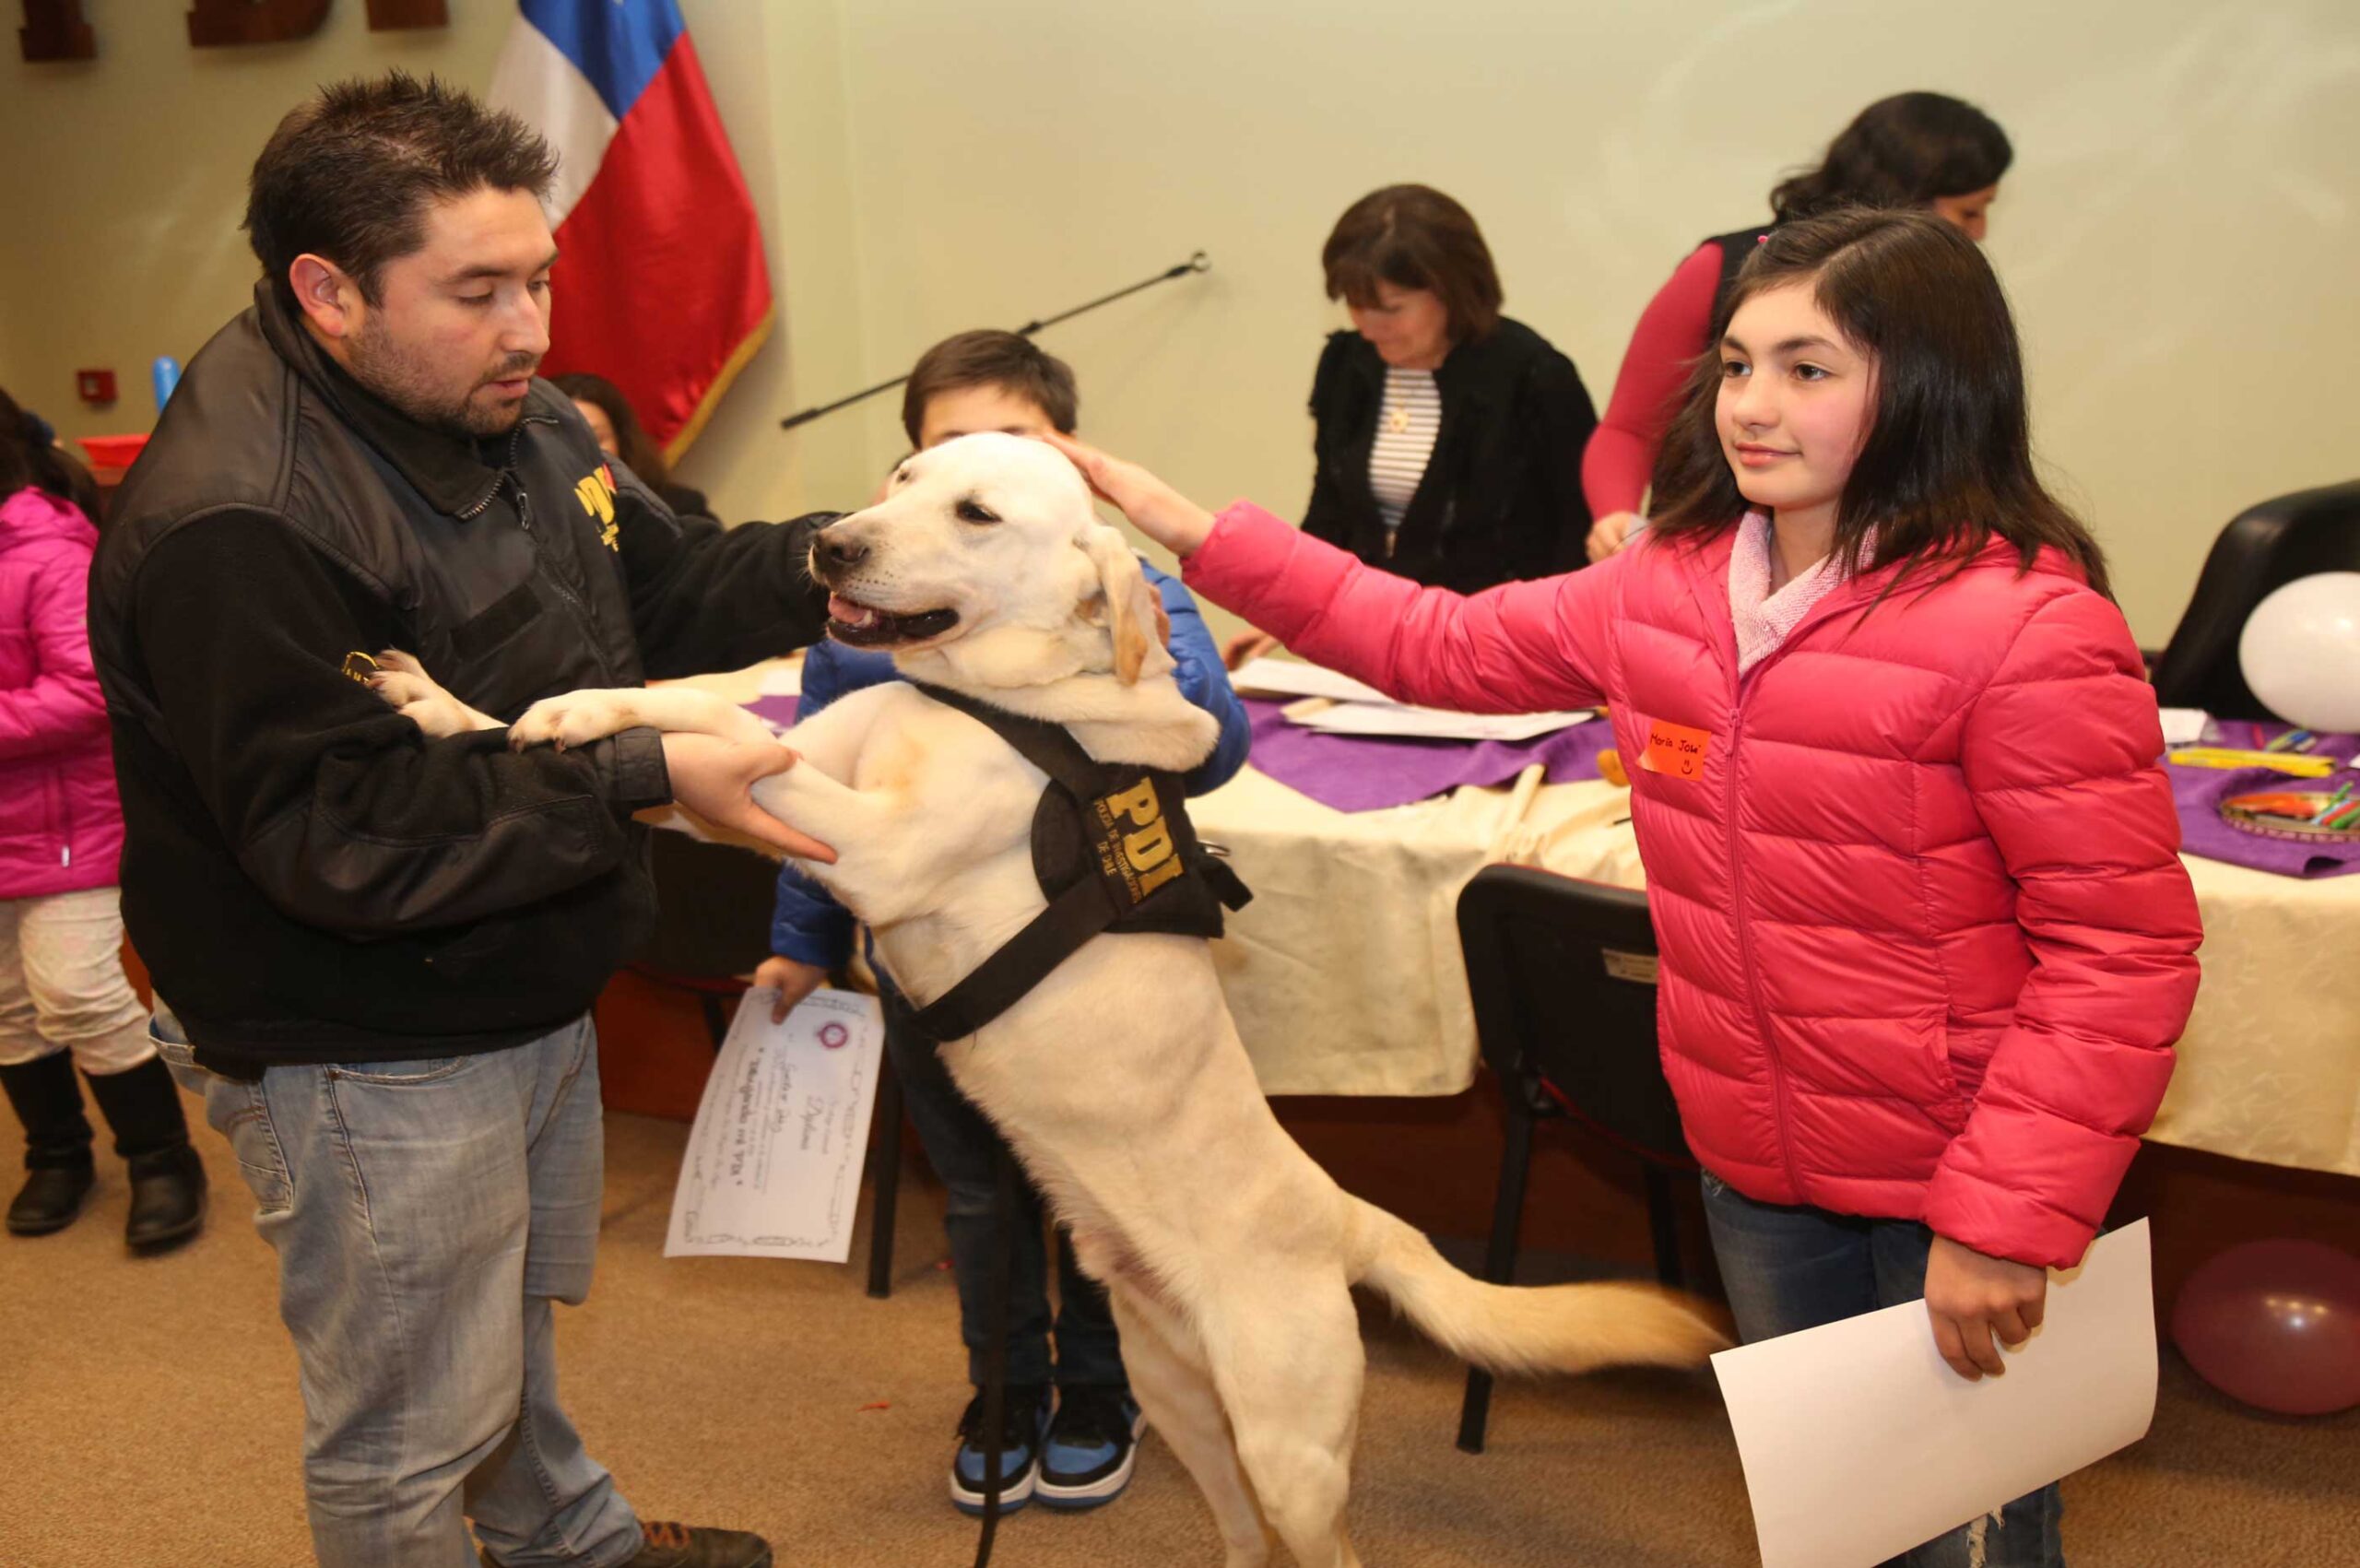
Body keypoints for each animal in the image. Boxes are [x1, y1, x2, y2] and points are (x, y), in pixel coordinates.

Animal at [377, 434, 1727, 1568]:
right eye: (902, 476)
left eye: (973, 513)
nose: (833, 545)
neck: (981, 701)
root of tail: (1346, 1217)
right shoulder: (788, 776)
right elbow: (678, 715)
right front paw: (492, 708)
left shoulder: (872, 846)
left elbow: (711, 716)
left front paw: (527, 710)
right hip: (1184, 1400)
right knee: (1244, 1541)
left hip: (1291, 1446)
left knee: (1326, 1552)